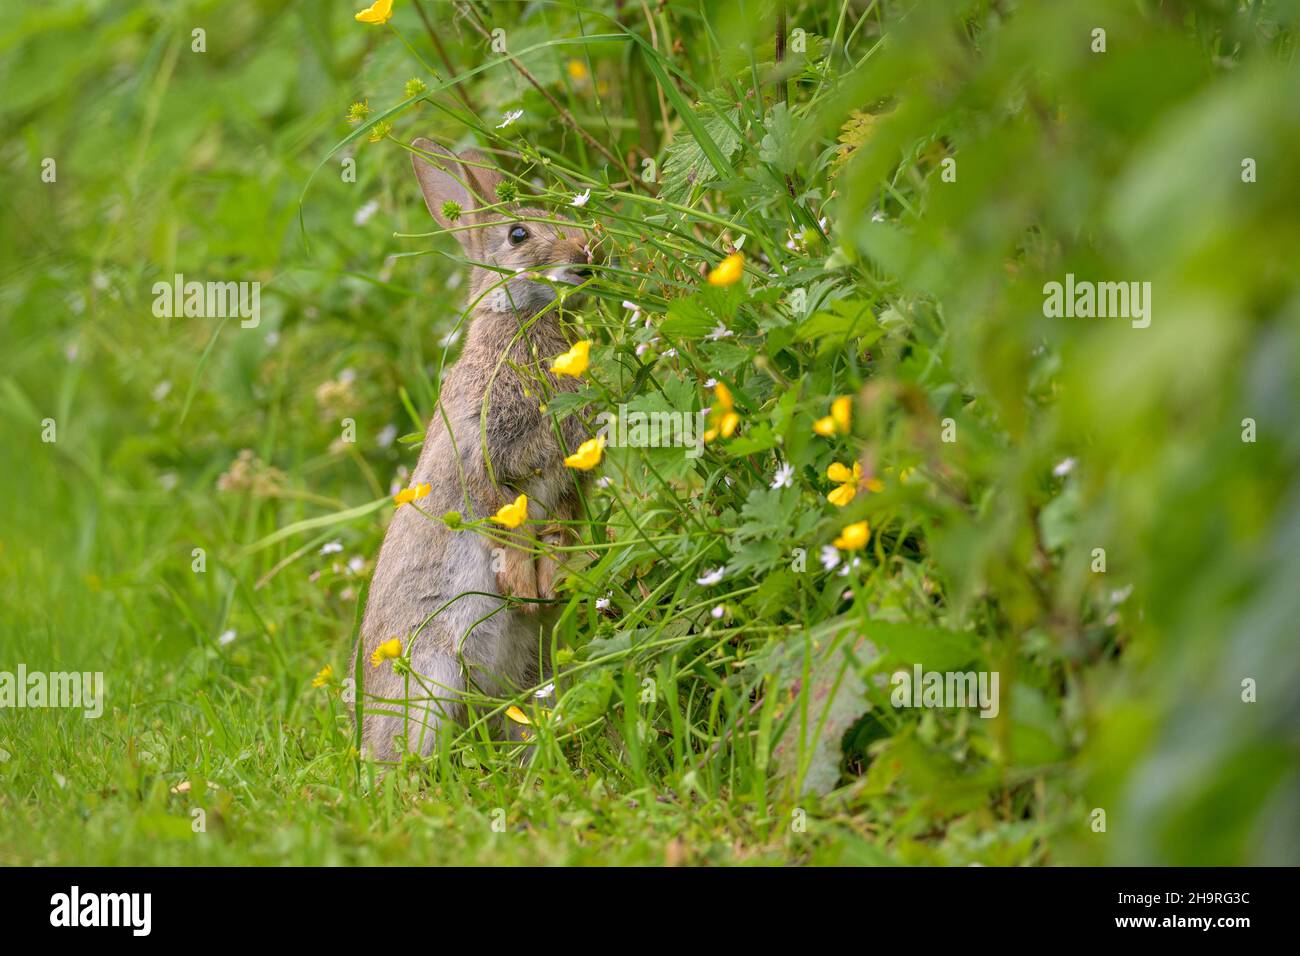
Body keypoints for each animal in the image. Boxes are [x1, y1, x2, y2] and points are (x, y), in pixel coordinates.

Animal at [352, 140, 595, 762]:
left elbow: (559, 524)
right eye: (518, 234)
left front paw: (551, 586)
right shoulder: (484, 460)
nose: (586, 253)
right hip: (431, 681)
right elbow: (504, 526)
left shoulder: (569, 477)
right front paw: (524, 589)